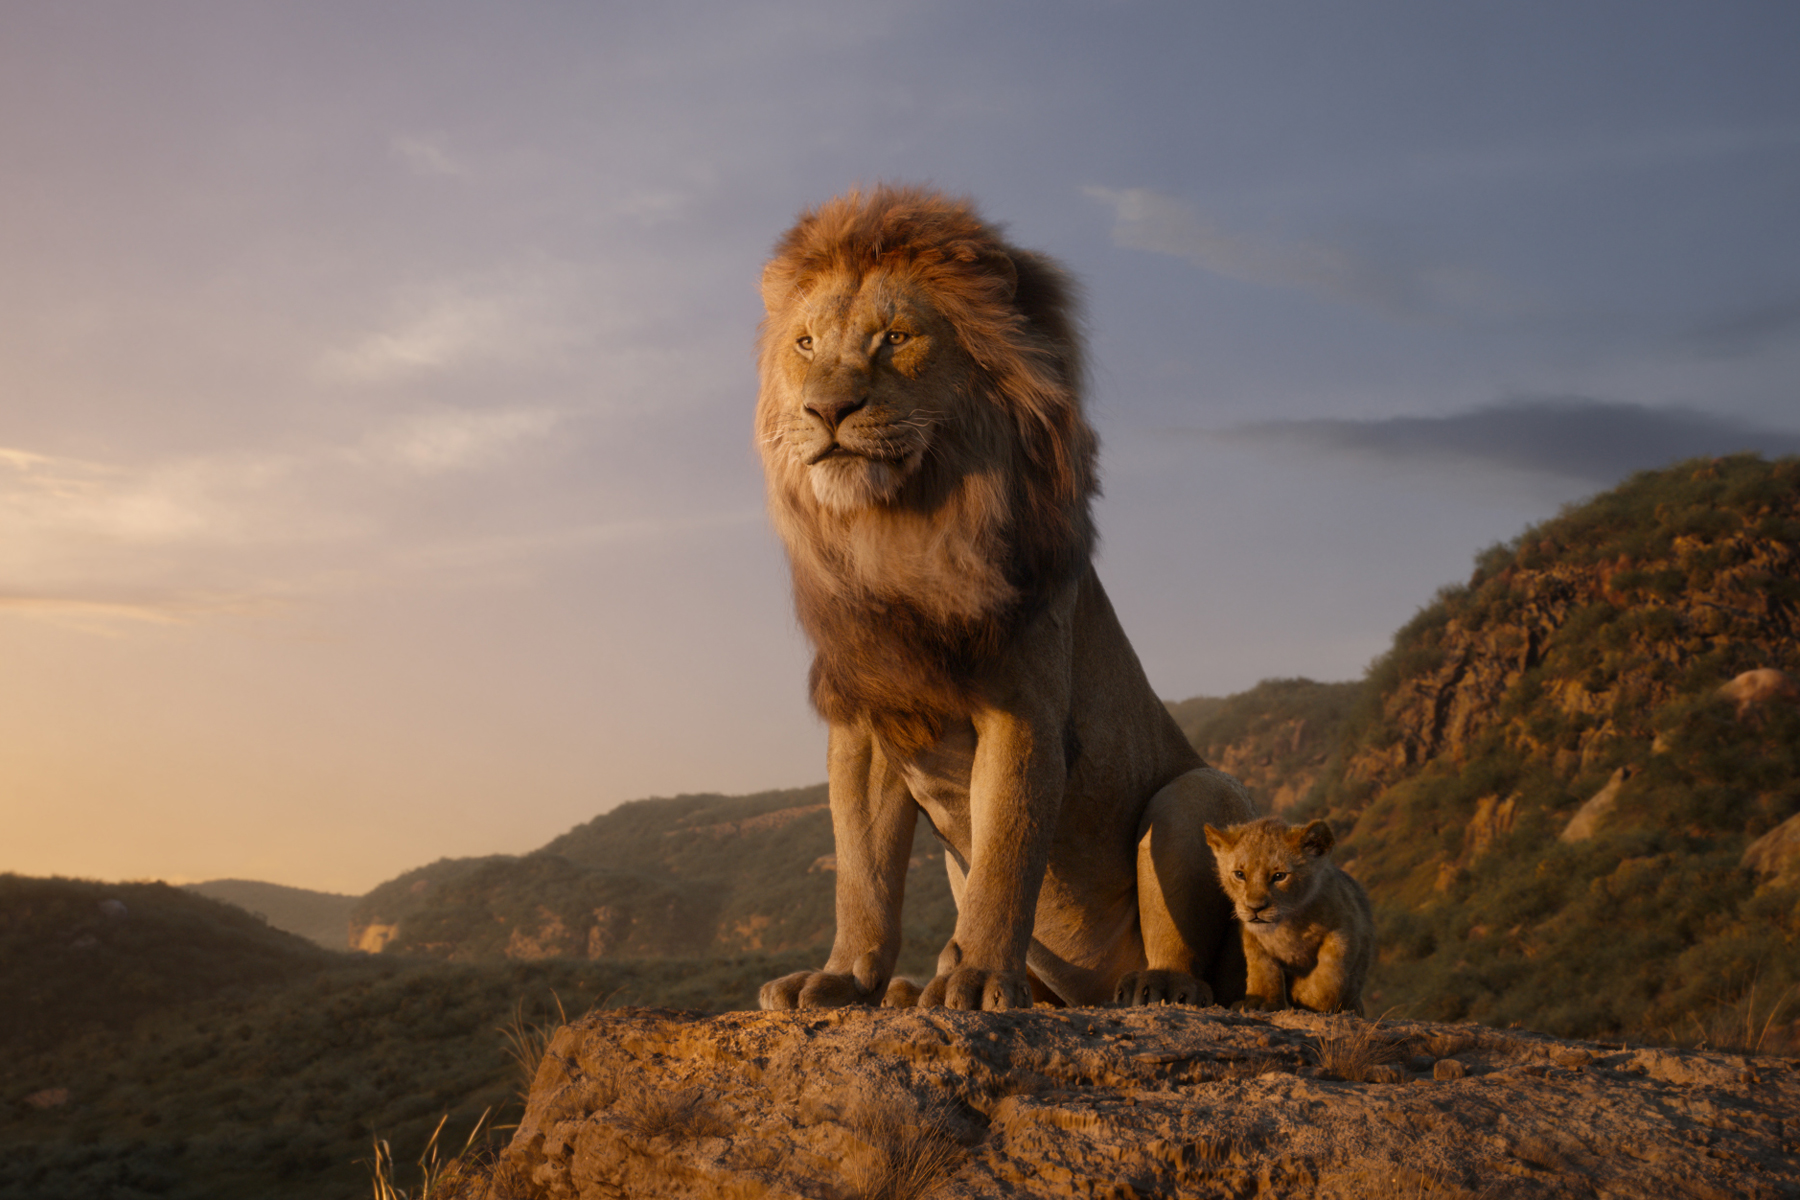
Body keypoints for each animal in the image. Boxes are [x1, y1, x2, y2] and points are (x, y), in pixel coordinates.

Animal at [752, 185, 1253, 1012]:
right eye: (805, 344)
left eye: (896, 337)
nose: (827, 411)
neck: (900, 533)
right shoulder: (866, 721)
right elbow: (863, 875)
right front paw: (843, 978)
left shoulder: (1024, 712)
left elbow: (1005, 858)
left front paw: (980, 978)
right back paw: (913, 989)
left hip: (1196, 794)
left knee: (1196, 960)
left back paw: (1154, 986)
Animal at [1203, 816, 1374, 1015]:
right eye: (1239, 874)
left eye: (1279, 876)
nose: (1255, 908)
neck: (1288, 925)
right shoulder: (1252, 937)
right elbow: (1262, 969)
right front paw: (1259, 1001)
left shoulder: (1344, 929)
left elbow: (1329, 971)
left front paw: (1310, 998)